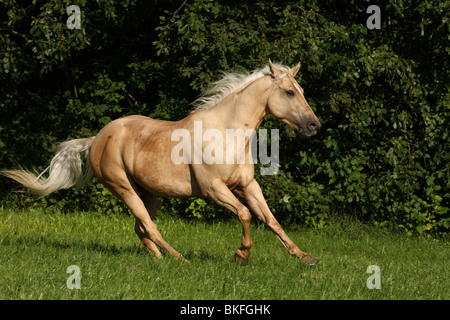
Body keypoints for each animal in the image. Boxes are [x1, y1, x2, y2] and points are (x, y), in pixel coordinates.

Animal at [1, 60, 322, 264]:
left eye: (303, 91)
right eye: (289, 92)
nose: (314, 126)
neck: (227, 133)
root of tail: (97, 139)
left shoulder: (247, 185)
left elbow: (270, 219)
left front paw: (305, 257)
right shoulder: (214, 189)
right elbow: (245, 215)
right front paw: (241, 255)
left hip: (146, 192)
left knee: (142, 228)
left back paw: (157, 259)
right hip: (123, 188)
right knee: (149, 226)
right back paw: (180, 259)